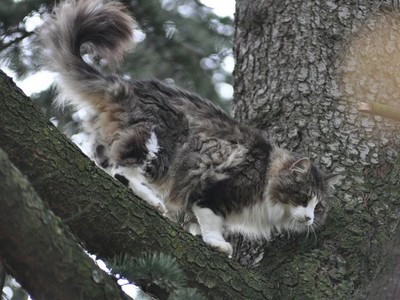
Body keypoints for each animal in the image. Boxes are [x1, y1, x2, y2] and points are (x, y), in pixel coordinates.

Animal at [36, 0, 338, 255]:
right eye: (303, 197)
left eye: (318, 205)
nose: (310, 217)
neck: (265, 172)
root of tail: (125, 84)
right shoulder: (213, 188)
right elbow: (211, 219)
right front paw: (217, 244)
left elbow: (195, 223)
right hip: (159, 140)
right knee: (122, 170)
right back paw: (152, 200)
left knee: (107, 164)